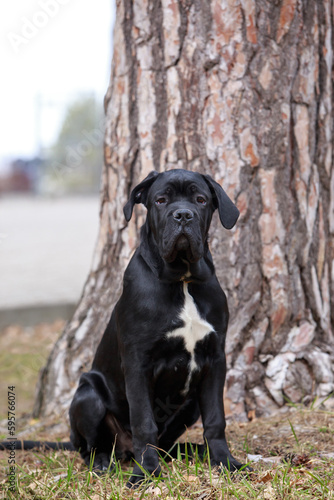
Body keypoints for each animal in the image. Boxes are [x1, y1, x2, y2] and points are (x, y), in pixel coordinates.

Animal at [68, 168, 245, 484]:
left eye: (200, 200)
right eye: (161, 200)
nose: (183, 215)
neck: (183, 280)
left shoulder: (215, 359)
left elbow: (216, 419)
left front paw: (225, 462)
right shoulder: (138, 363)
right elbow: (144, 422)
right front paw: (146, 472)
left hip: (190, 404)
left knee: (167, 443)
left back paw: (190, 452)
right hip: (88, 395)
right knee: (90, 447)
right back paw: (103, 462)